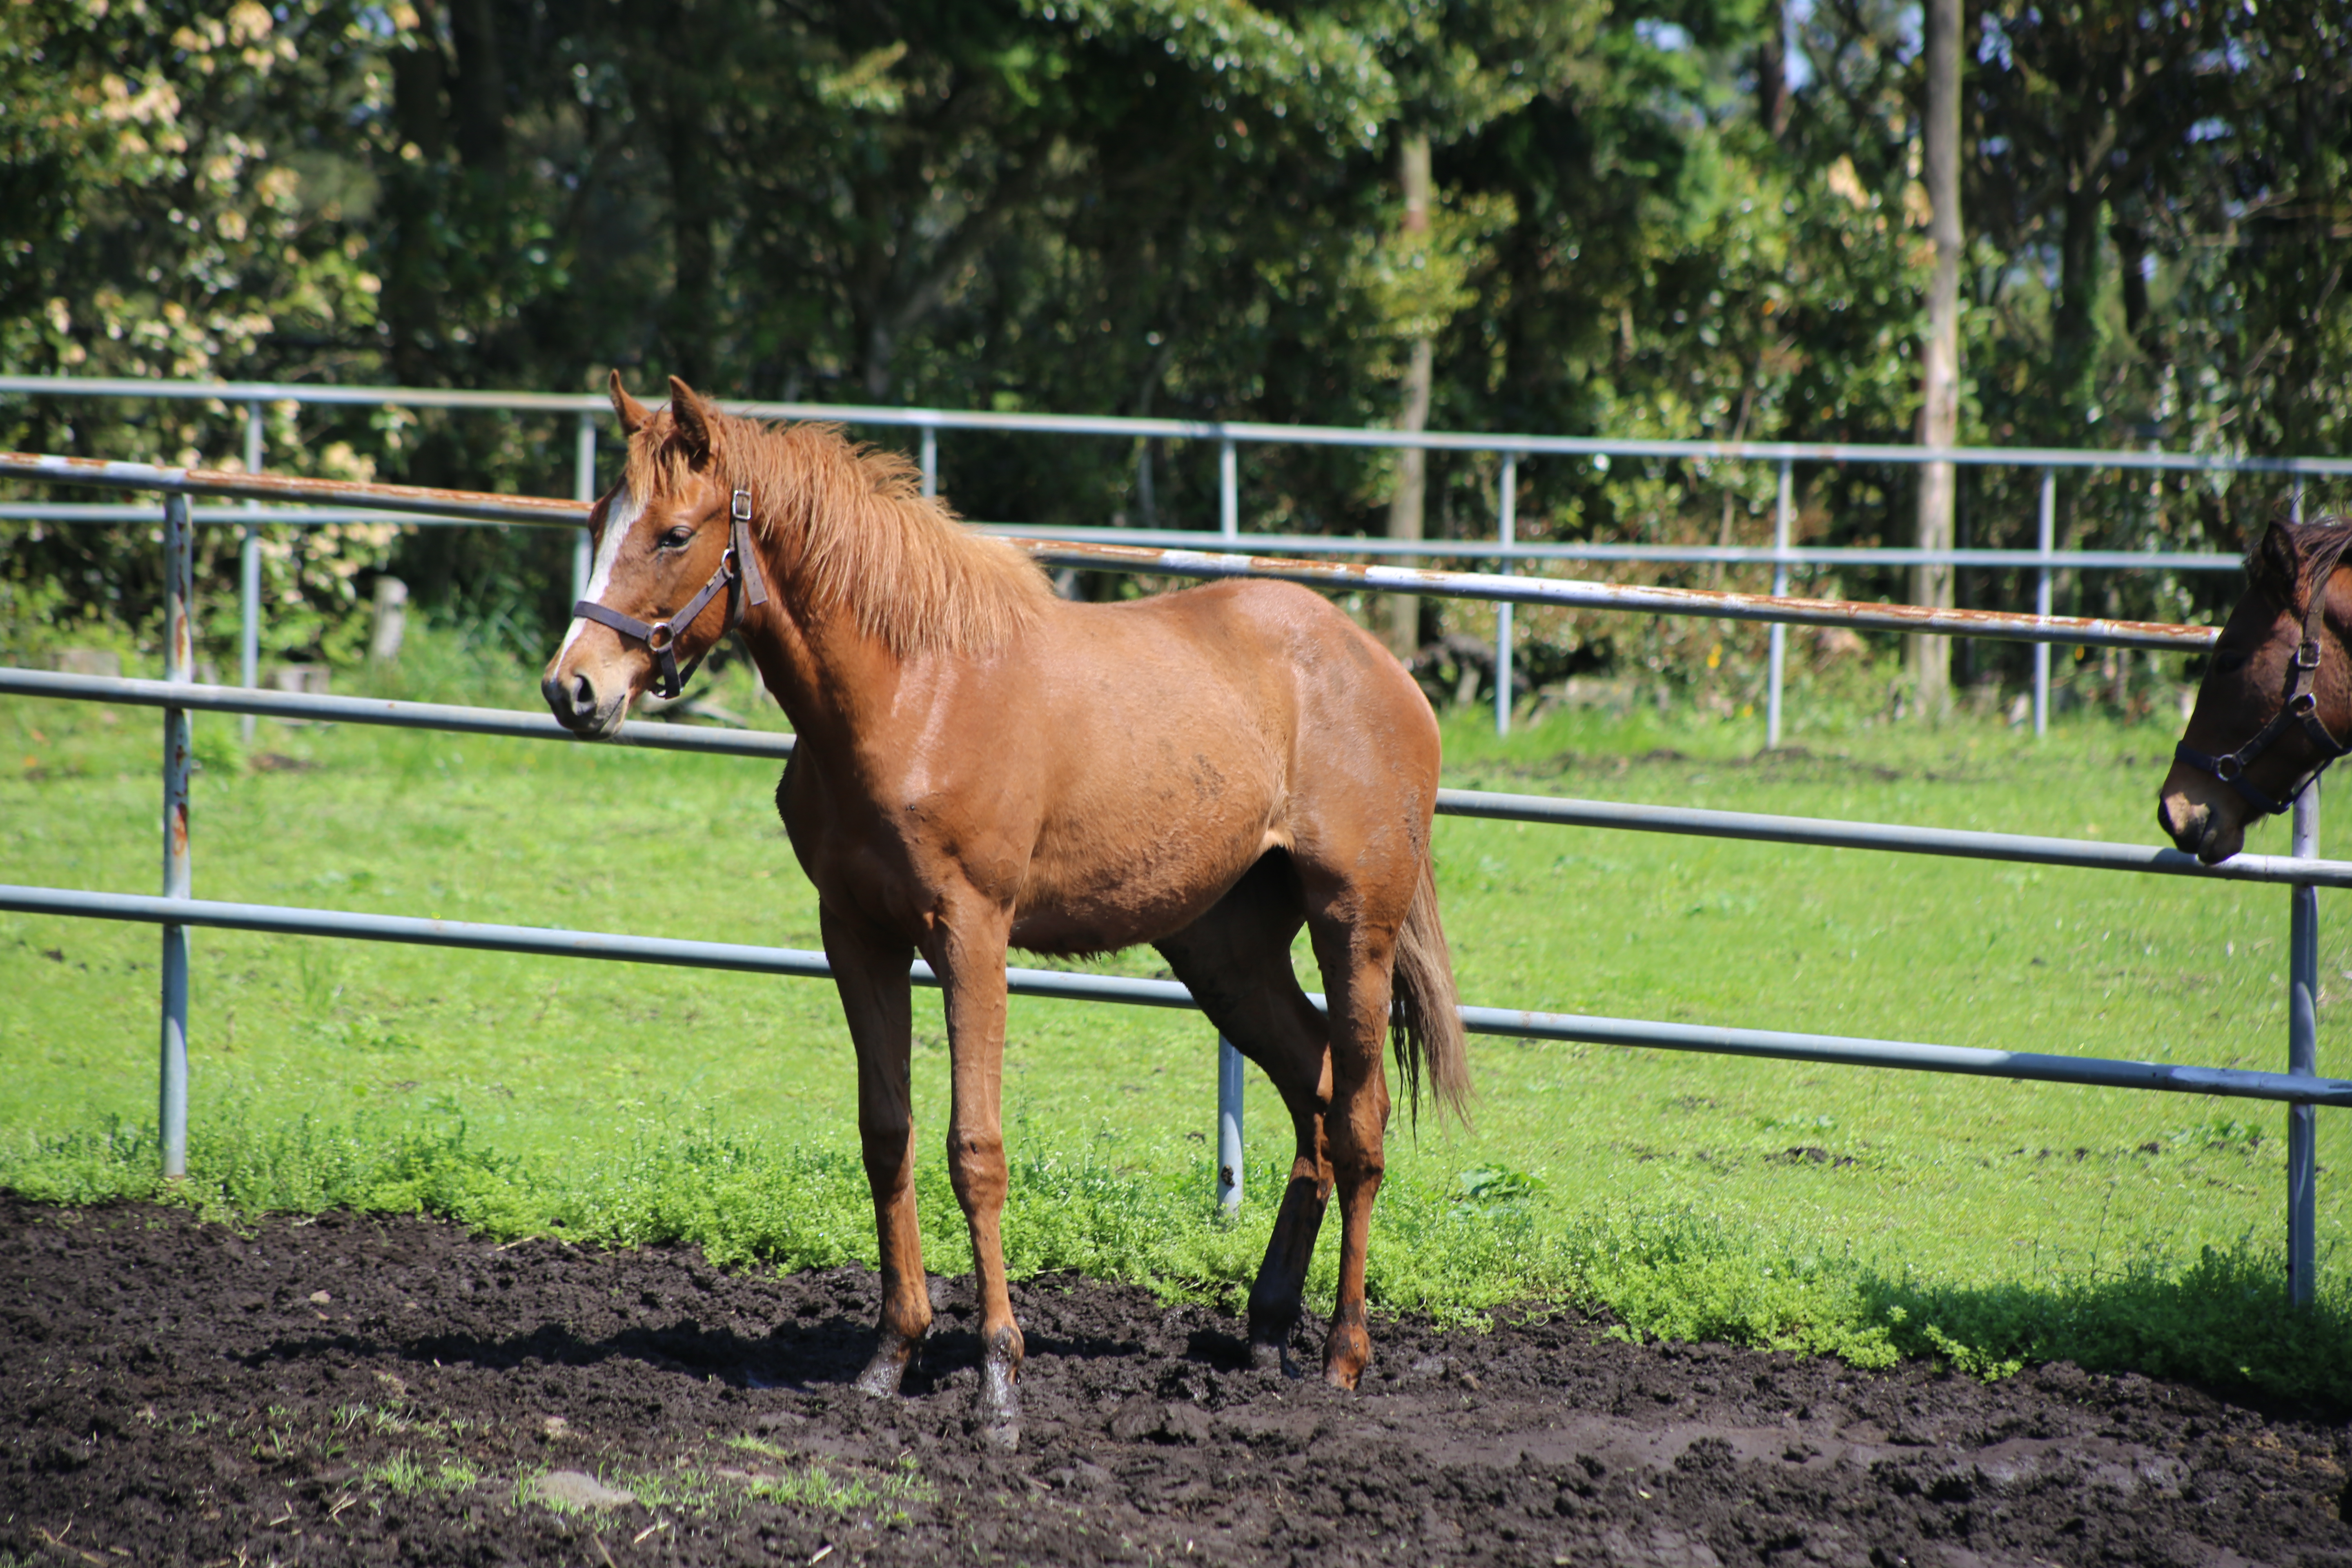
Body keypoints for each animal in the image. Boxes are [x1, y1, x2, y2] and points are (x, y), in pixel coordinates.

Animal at [543, 374, 1477, 1457]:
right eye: (599, 519)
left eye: (675, 533)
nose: (572, 688)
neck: (912, 693)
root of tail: (1383, 669)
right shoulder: (855, 936)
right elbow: (887, 1135)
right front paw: (890, 1357)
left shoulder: (971, 936)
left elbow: (974, 1151)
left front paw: (998, 1383)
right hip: (1224, 951)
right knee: (1316, 1093)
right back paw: (1265, 1328)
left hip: (1353, 928)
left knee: (1361, 1121)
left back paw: (1340, 1354)